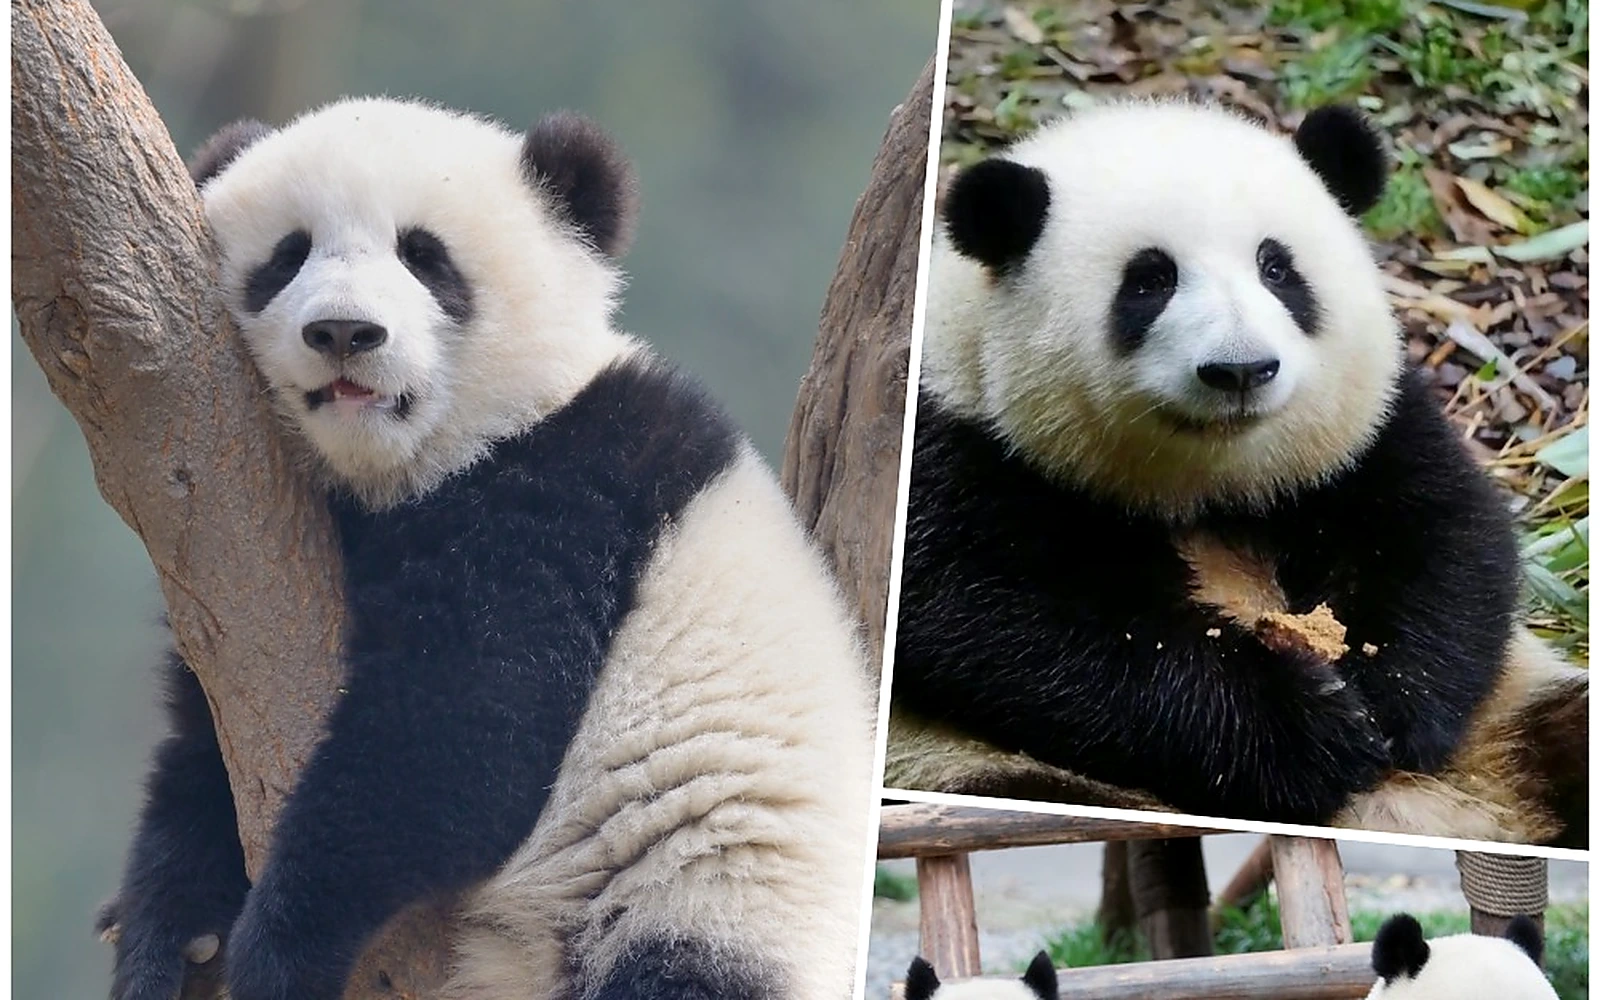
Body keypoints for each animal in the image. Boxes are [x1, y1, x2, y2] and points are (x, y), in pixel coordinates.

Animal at [100, 97, 875, 1000]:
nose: (344, 331)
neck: (406, 468)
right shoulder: (233, 563)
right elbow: (202, 746)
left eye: (425, 258)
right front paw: (175, 939)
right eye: (288, 256)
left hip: (705, 887)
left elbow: (458, 739)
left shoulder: (568, 496)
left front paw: (280, 947)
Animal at [891, 98, 1585, 834]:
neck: (1209, 484)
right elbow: (1011, 621)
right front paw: (1306, 729)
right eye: (1150, 280)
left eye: (1276, 268)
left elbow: (1447, 536)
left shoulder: (1370, 430)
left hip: (1516, 717)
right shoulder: (964, 446)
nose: (1241, 369)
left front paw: (1390, 701)